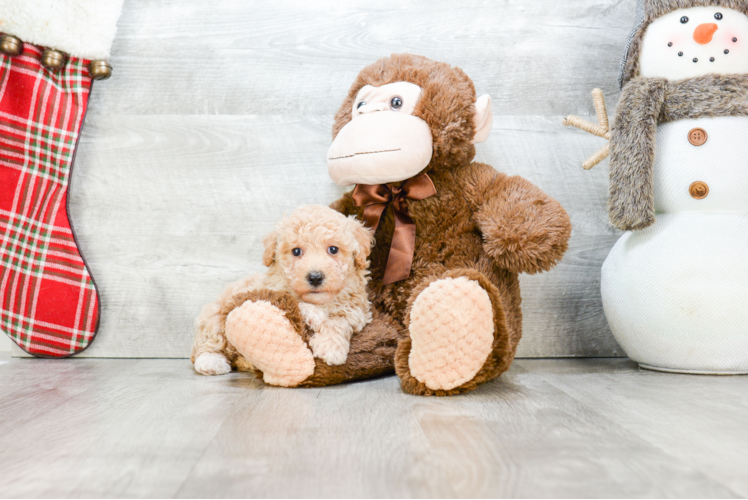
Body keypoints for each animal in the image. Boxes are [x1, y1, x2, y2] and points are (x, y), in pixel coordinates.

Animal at [190, 204, 372, 376]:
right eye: (296, 251)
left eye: (333, 249)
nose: (315, 277)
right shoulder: (272, 293)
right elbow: (297, 303)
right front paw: (313, 314)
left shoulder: (356, 310)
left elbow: (339, 320)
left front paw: (330, 348)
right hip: (216, 314)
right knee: (209, 343)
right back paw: (212, 362)